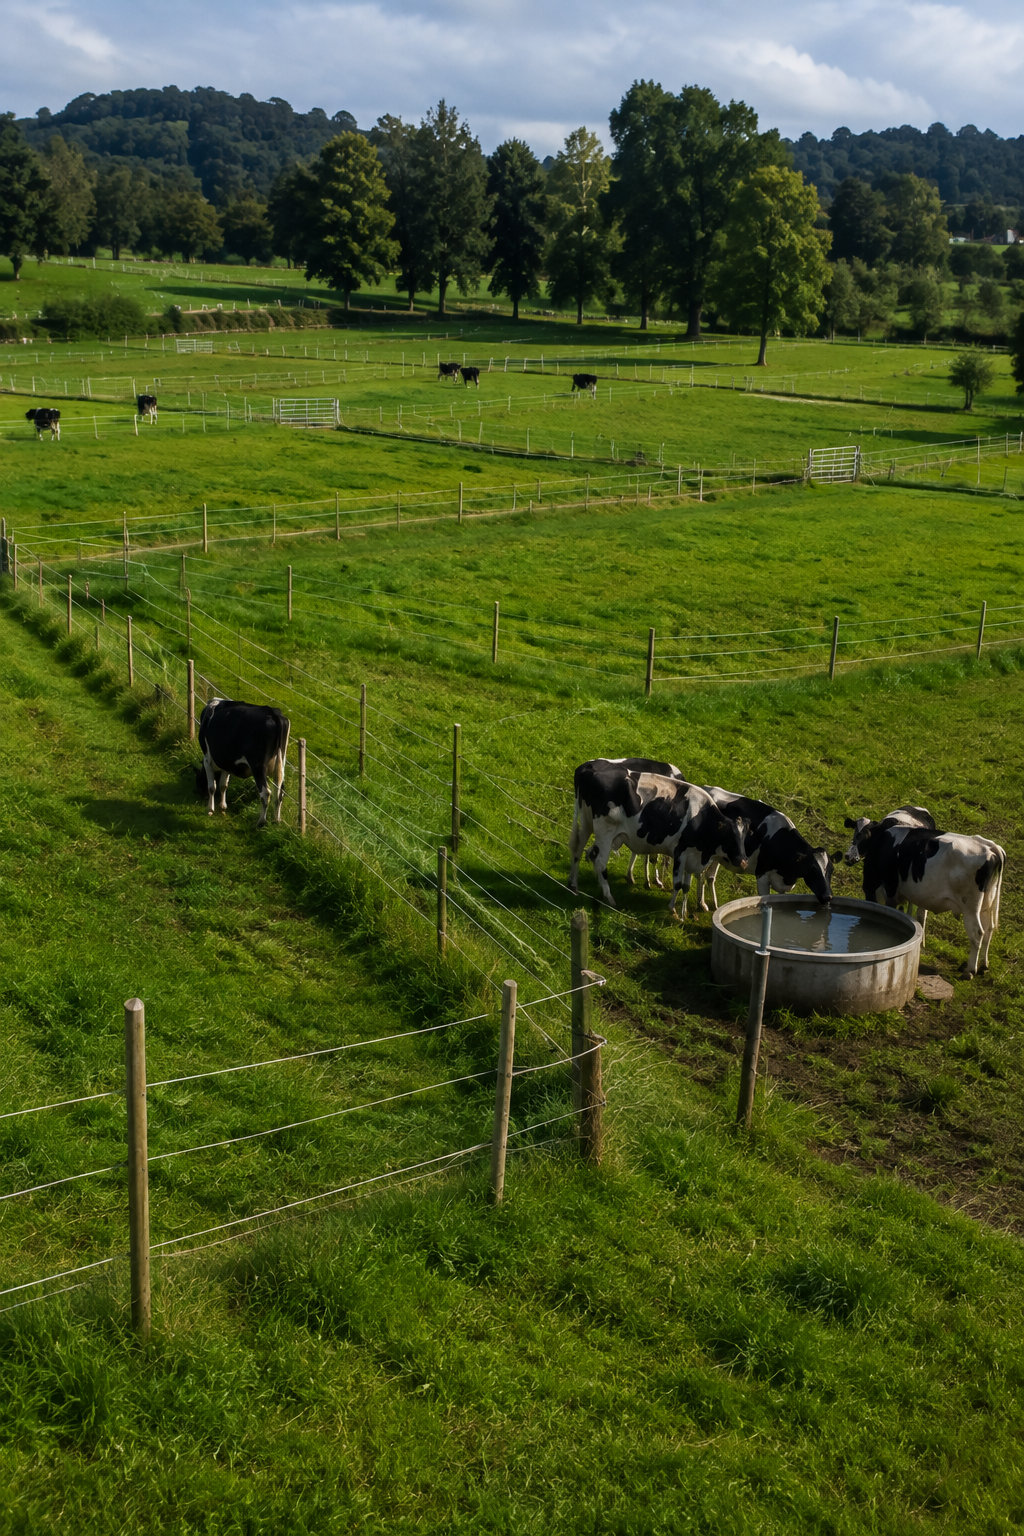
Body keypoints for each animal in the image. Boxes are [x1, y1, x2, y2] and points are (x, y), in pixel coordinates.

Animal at [195, 699, 290, 828]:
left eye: (198, 782)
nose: (201, 796)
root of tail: (274, 713)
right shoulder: (228, 762)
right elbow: (223, 785)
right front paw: (223, 806)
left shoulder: (207, 758)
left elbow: (212, 786)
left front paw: (210, 809)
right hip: (280, 765)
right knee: (280, 792)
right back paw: (277, 820)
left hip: (258, 766)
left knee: (265, 793)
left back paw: (261, 822)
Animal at [569, 760, 747, 918]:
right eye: (730, 837)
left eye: (745, 837)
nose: (744, 862)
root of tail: (589, 769)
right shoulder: (680, 852)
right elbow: (678, 883)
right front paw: (673, 910)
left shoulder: (692, 856)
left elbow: (686, 886)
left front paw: (684, 914)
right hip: (605, 831)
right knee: (599, 860)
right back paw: (609, 897)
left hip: (586, 823)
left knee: (578, 849)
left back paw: (574, 885)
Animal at [697, 788, 833, 908]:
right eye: (812, 869)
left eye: (831, 870)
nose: (828, 897)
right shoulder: (762, 876)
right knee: (700, 873)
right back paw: (702, 905)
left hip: (718, 855)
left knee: (710, 875)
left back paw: (714, 905)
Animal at [844, 819, 1005, 976]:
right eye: (855, 832)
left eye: (862, 836)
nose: (848, 856)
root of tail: (990, 847)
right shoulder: (922, 895)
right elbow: (920, 917)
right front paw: (921, 944)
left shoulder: (881, 889)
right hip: (987, 904)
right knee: (989, 929)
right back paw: (983, 965)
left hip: (970, 907)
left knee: (977, 933)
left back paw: (970, 970)